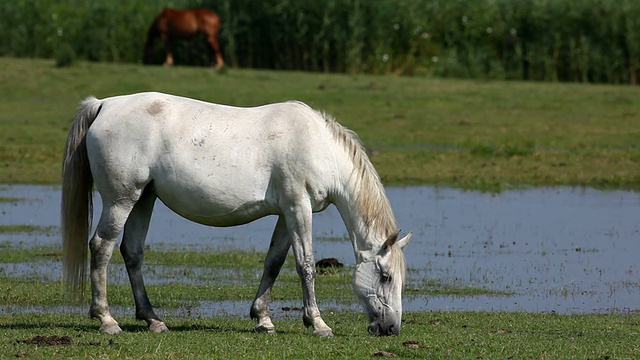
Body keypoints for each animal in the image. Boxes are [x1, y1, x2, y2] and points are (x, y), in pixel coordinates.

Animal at [60, 91, 410, 336]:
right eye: (386, 276)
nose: (391, 328)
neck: (319, 147)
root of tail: (104, 104)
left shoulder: (287, 213)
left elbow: (274, 262)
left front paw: (263, 319)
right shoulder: (298, 207)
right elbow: (306, 265)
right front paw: (318, 323)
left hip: (143, 198)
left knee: (132, 252)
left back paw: (153, 319)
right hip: (121, 200)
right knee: (101, 247)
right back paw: (107, 320)